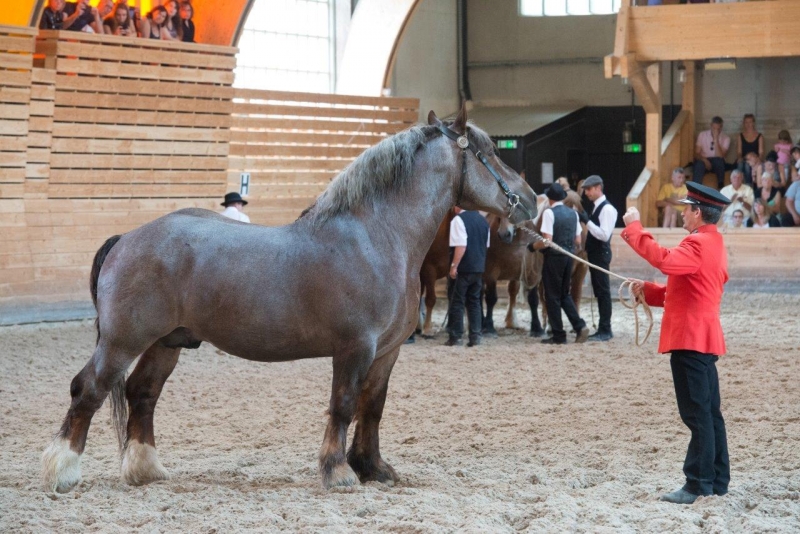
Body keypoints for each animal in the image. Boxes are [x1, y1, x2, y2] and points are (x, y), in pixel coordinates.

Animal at [39, 107, 536, 496]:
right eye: (491, 154)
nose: (530, 201)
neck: (378, 237)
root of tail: (127, 238)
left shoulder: (387, 352)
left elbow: (372, 407)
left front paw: (373, 468)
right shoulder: (355, 348)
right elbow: (344, 404)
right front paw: (338, 472)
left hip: (168, 343)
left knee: (142, 394)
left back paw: (146, 470)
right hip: (123, 341)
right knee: (88, 389)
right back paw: (62, 471)